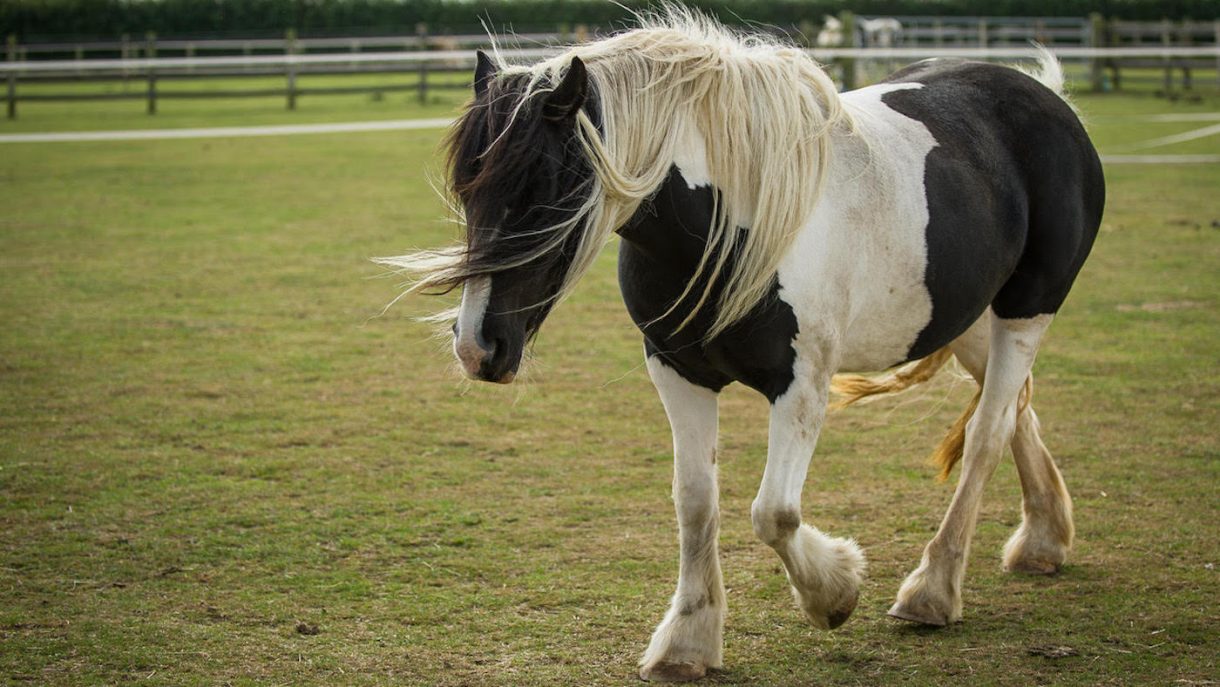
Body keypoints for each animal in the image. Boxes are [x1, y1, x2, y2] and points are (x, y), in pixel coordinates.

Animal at [379, 10, 1104, 682]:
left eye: (545, 190)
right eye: (468, 190)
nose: (478, 347)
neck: (732, 219)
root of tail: (1044, 95)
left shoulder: (802, 383)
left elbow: (773, 513)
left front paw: (835, 591)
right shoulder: (677, 371)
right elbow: (696, 501)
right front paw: (688, 641)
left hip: (1025, 311)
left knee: (986, 434)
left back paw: (932, 591)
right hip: (969, 320)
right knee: (1012, 413)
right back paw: (1042, 541)